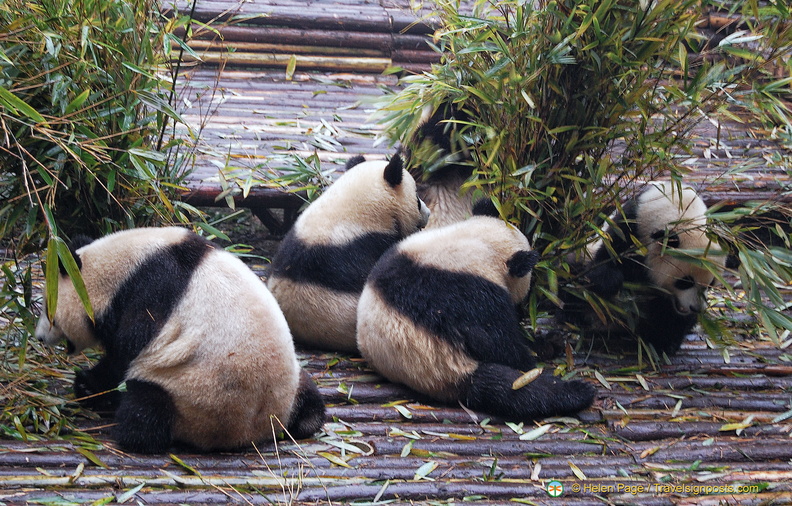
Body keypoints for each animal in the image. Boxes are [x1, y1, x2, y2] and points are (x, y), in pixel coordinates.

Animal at [35, 227, 326, 452]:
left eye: (48, 309)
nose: (38, 337)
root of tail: (253, 431)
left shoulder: (151, 291)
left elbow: (125, 352)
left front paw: (87, 385)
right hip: (292, 386)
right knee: (311, 403)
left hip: (187, 393)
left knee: (147, 410)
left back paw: (131, 429)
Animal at [358, 200, 592, 422]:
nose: (525, 310)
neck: (475, 245)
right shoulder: (470, 294)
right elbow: (498, 342)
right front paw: (536, 351)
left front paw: (548, 341)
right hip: (446, 366)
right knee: (514, 386)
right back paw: (577, 391)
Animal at [556, 182, 724, 356]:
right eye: (685, 282)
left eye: (711, 283)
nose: (695, 308)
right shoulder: (630, 226)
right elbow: (608, 259)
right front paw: (607, 282)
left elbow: (669, 314)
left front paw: (665, 341)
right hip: (584, 254)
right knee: (571, 273)